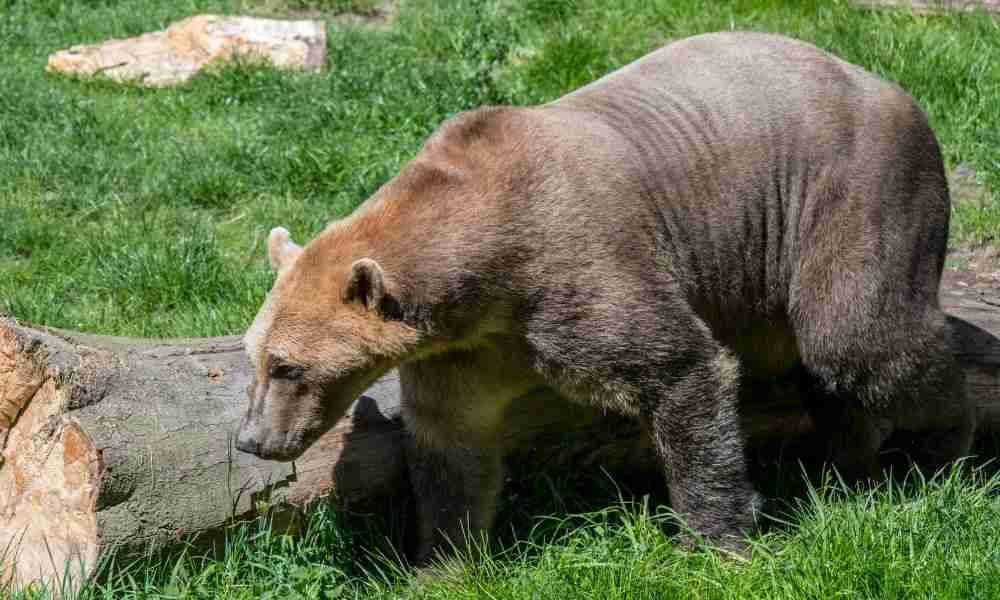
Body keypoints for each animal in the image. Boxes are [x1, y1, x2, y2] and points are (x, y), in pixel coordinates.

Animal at [236, 31, 976, 556]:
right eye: (255, 358)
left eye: (288, 366)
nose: (251, 439)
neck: (487, 269)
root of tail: (890, 86)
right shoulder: (465, 349)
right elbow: (453, 446)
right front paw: (443, 558)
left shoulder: (577, 273)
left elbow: (683, 370)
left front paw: (716, 539)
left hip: (852, 191)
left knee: (859, 339)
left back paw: (937, 450)